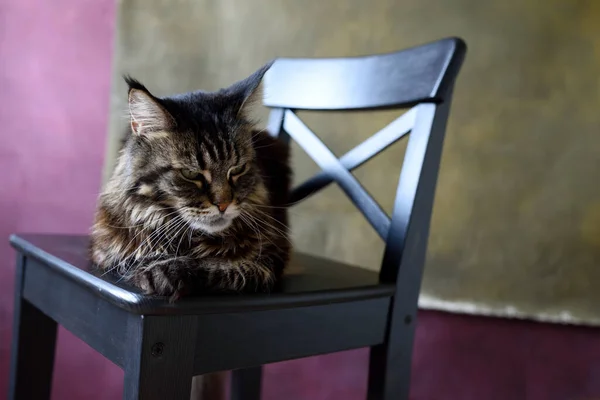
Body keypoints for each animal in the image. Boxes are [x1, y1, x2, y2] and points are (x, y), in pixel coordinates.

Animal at [89, 61, 292, 302]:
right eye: (190, 174)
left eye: (237, 170)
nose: (224, 205)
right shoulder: (106, 252)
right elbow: (136, 257)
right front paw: (161, 267)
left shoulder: (269, 261)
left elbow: (224, 267)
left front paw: (176, 271)